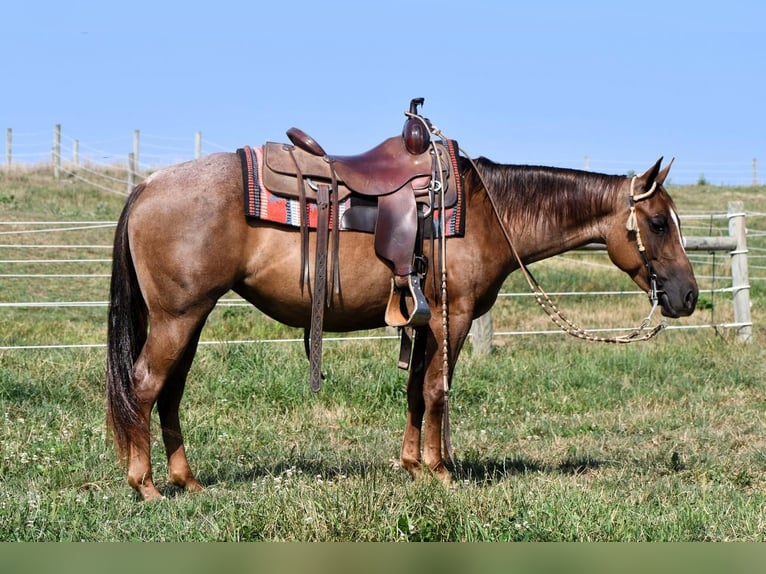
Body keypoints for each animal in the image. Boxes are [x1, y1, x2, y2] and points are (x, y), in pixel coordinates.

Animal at [105, 143, 700, 500]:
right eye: (656, 223)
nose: (688, 295)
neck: (488, 212)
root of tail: (147, 186)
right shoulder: (452, 317)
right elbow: (437, 390)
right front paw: (440, 471)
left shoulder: (424, 321)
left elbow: (415, 391)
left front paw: (413, 465)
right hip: (178, 317)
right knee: (144, 386)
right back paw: (145, 485)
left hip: (190, 318)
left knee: (169, 393)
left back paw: (186, 480)